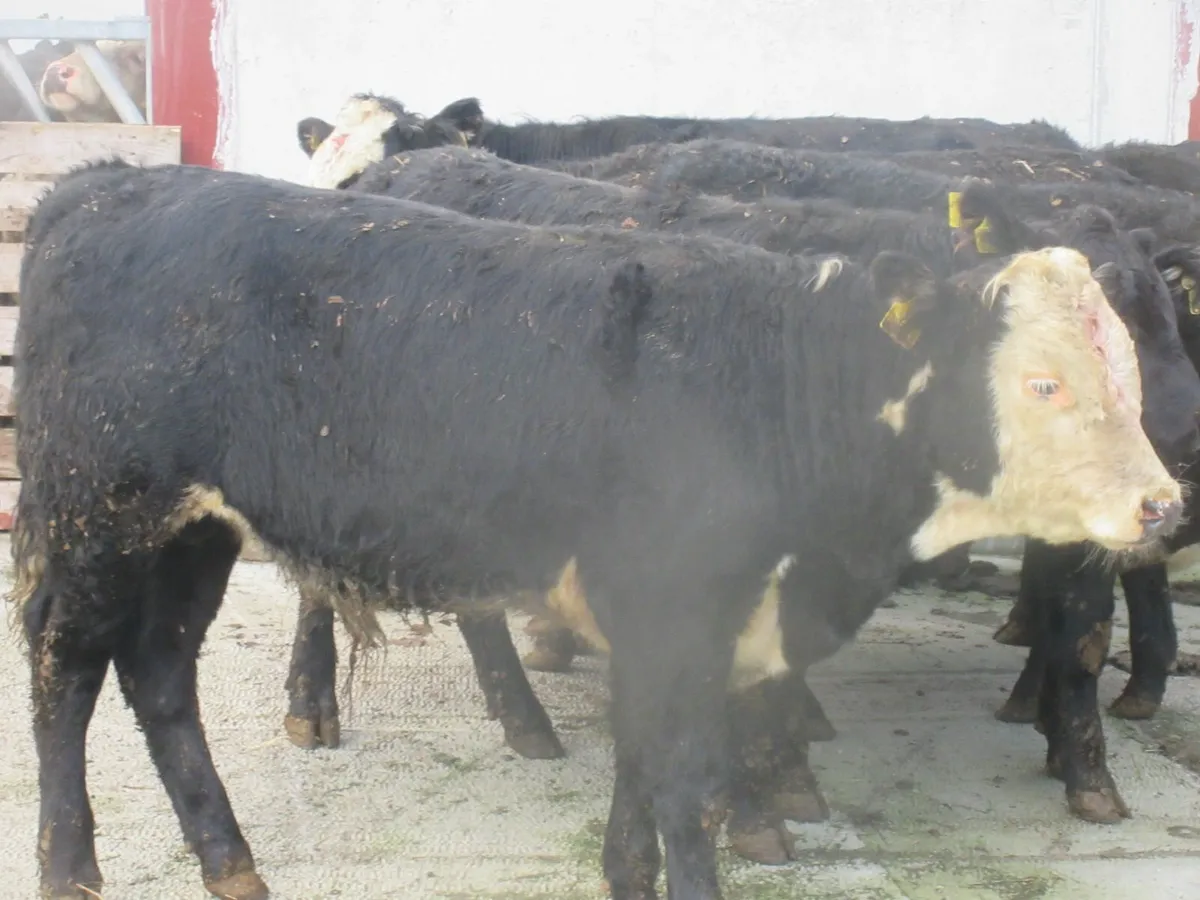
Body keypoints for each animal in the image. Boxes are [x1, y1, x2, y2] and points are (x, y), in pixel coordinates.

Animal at [13, 159, 1180, 900]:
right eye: (1041, 383)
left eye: (1128, 363)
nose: (1166, 503)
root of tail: (105, 183)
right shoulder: (677, 610)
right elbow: (689, 788)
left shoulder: (672, 621)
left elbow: (642, 766)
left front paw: (624, 871)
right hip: (99, 513)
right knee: (66, 666)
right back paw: (70, 869)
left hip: (191, 533)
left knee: (160, 674)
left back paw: (229, 860)